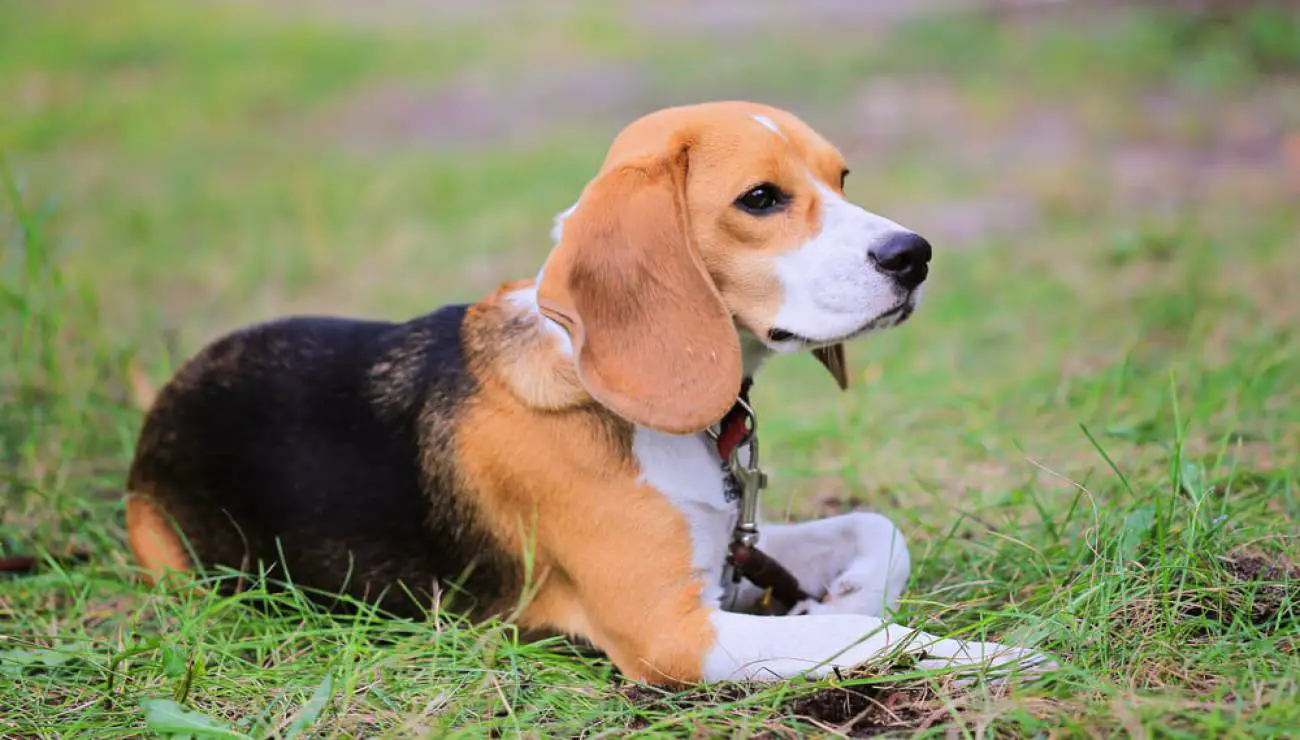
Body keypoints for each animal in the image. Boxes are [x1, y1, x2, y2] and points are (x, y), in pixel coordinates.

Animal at [126, 100, 1050, 681]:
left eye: (843, 177)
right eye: (760, 198)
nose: (914, 254)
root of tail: (167, 399)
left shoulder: (724, 547)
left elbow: (875, 528)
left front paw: (847, 593)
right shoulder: (673, 633)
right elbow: (861, 638)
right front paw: (993, 656)